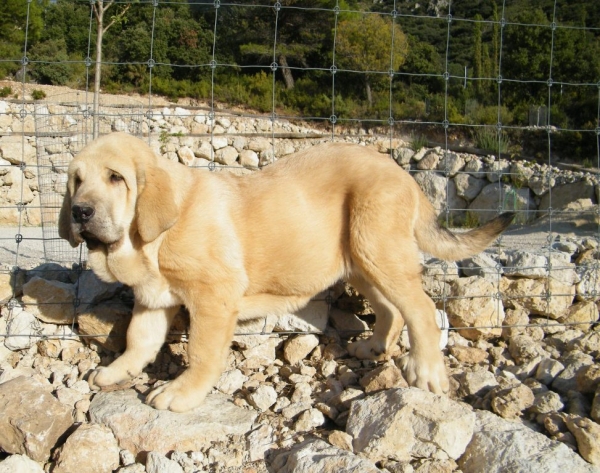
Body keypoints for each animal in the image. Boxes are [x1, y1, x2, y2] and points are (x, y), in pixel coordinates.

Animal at [58, 131, 512, 412]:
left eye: (116, 178)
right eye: (77, 181)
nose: (80, 212)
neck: (149, 239)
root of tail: (402, 172)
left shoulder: (213, 297)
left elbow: (202, 352)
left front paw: (181, 392)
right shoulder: (155, 298)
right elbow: (139, 339)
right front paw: (118, 371)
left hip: (378, 249)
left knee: (420, 309)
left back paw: (427, 372)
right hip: (359, 260)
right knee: (391, 309)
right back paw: (373, 347)